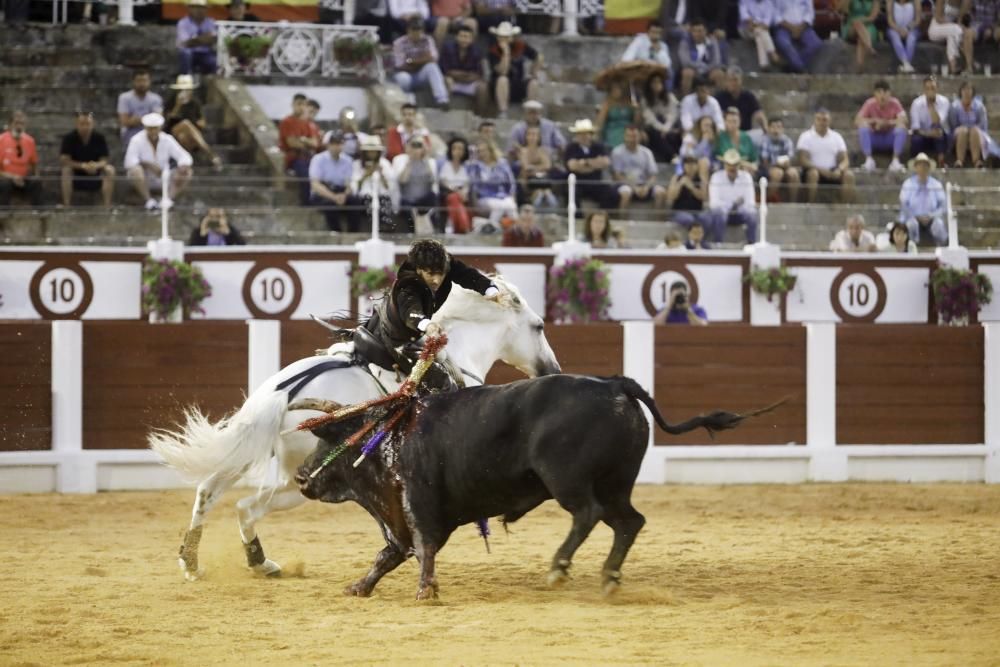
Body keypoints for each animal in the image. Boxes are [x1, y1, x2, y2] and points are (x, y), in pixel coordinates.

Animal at [148, 276, 560, 580]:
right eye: (539, 326)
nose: (552, 370)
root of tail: (281, 394)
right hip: (299, 481)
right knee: (246, 507)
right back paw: (259, 562)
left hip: (249, 450)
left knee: (208, 491)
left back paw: (193, 561)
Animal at [292, 376, 776, 600]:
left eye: (328, 439)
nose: (299, 476)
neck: (388, 435)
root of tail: (614, 383)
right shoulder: (399, 518)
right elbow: (387, 555)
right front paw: (359, 587)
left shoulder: (419, 507)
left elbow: (422, 549)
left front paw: (426, 591)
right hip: (616, 484)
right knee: (629, 521)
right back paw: (608, 577)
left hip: (567, 480)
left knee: (588, 515)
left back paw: (559, 567)